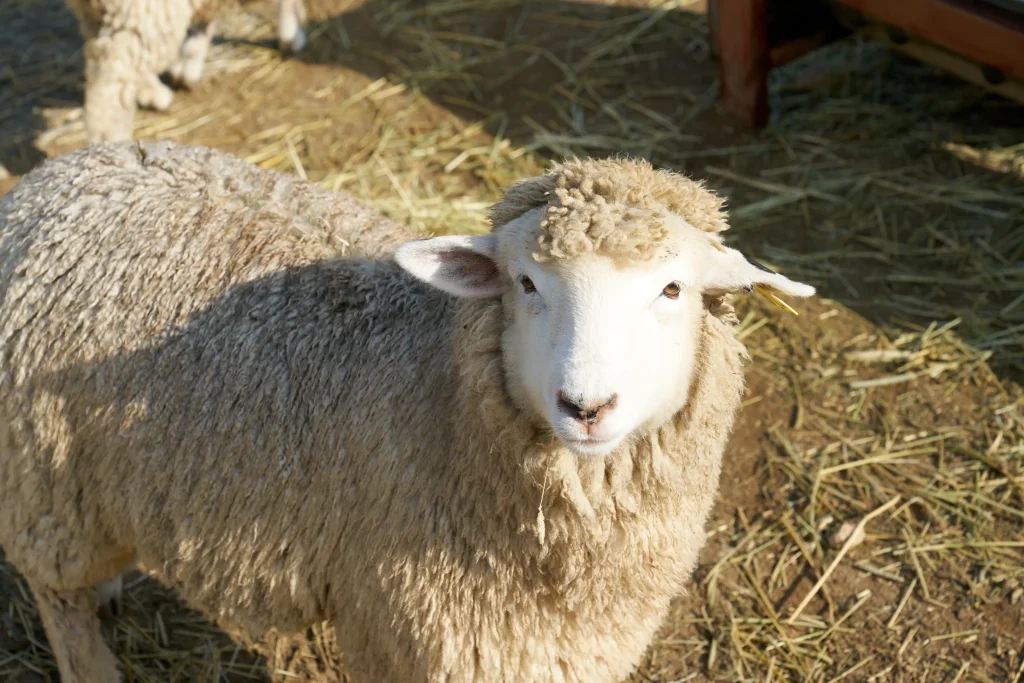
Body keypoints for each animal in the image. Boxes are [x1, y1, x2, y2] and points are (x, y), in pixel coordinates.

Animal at [0, 140, 815, 683]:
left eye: (673, 289)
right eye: (525, 283)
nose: (586, 405)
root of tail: (55, 178)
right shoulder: (405, 629)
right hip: (43, 478)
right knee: (55, 592)